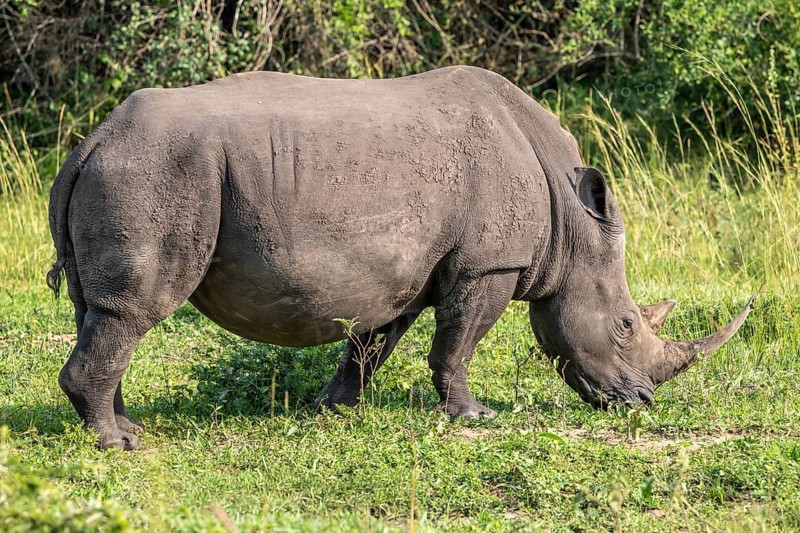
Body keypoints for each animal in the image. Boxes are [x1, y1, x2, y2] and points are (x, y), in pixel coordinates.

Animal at [48, 66, 754, 450]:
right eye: (627, 326)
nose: (642, 402)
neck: (570, 224)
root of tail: (91, 141)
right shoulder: (488, 265)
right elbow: (458, 343)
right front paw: (473, 416)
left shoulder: (403, 272)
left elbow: (371, 345)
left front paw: (335, 409)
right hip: (157, 171)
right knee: (133, 311)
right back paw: (120, 443)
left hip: (131, 167)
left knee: (100, 312)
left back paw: (121, 427)